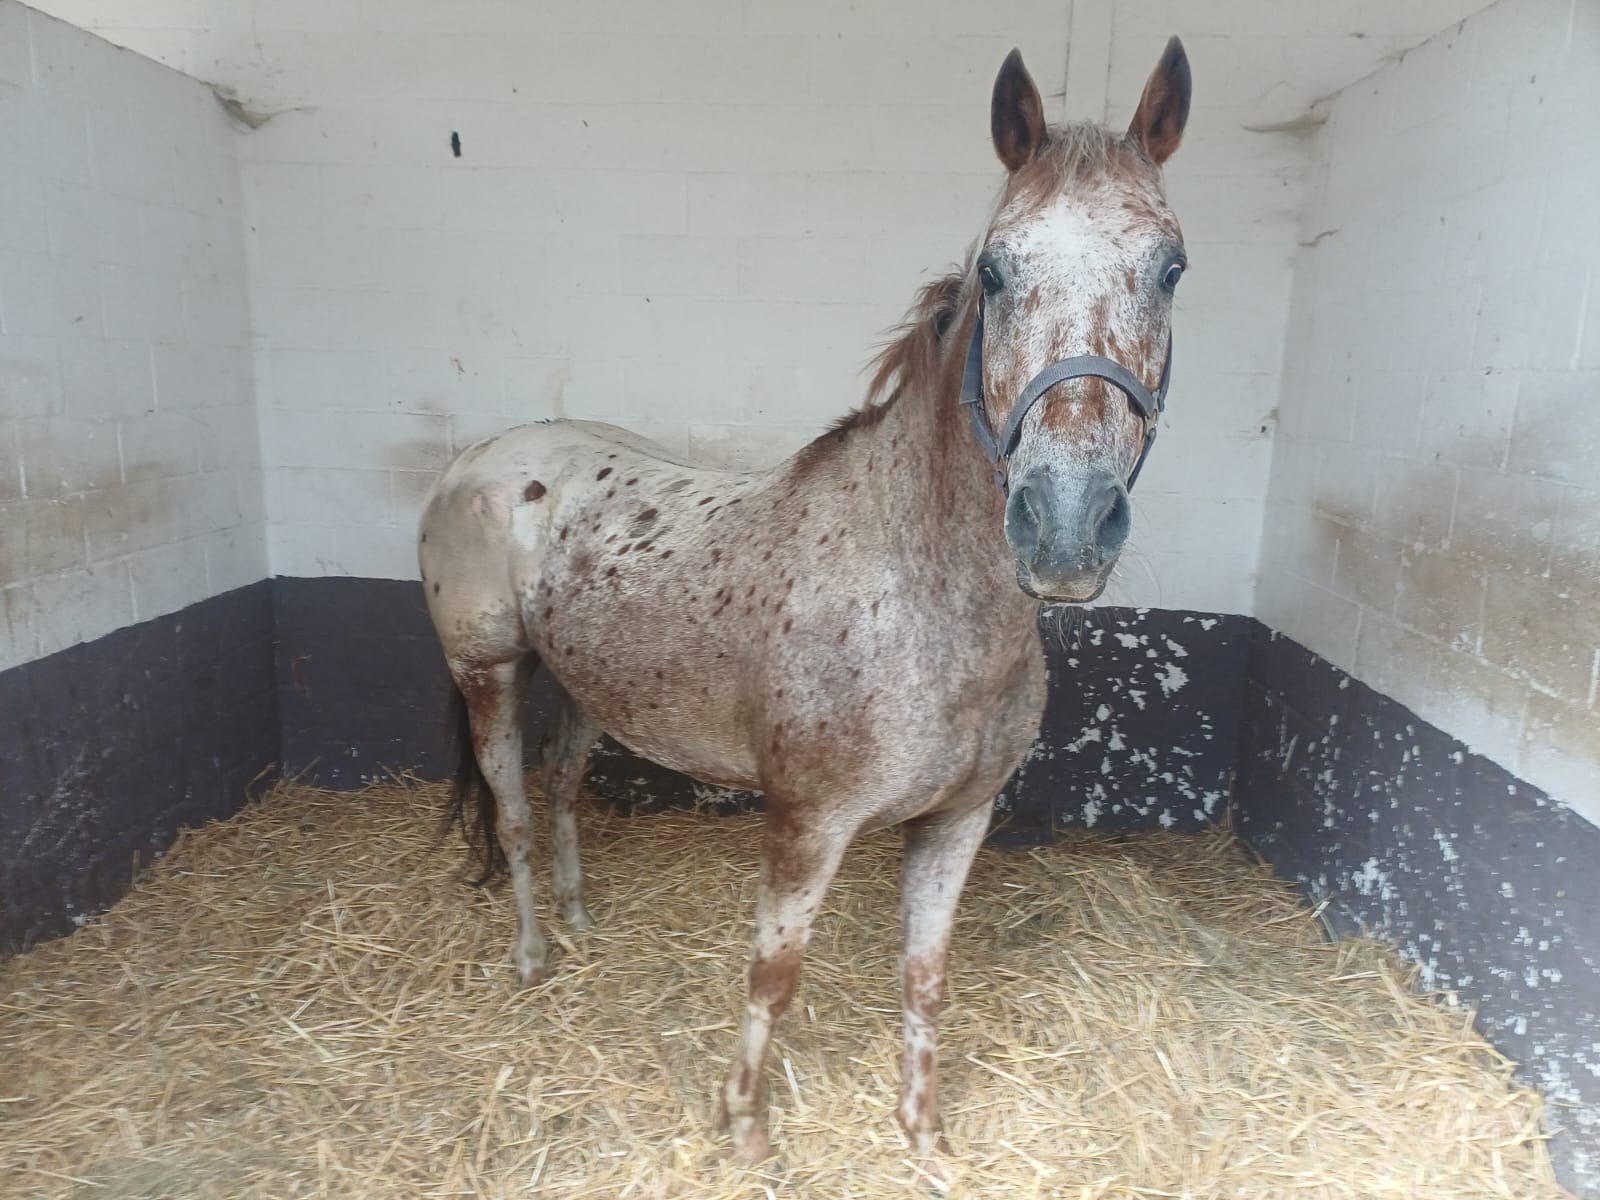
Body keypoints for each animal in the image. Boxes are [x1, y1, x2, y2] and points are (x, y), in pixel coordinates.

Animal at [418, 38, 1192, 1163]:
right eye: (995, 268)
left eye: (1171, 269)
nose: (1065, 522)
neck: (920, 594)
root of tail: (477, 461)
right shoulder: (807, 822)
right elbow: (773, 977)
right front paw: (743, 1127)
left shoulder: (958, 819)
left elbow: (924, 976)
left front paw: (923, 1132)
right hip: (489, 672)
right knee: (515, 810)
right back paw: (531, 954)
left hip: (587, 689)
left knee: (558, 793)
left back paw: (577, 916)